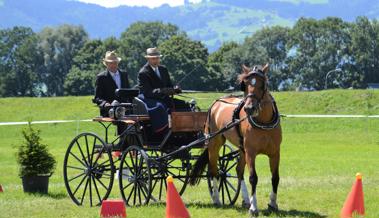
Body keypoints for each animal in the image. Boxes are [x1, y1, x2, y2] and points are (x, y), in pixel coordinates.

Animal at [189, 63, 282, 215]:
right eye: (245, 84)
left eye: (262, 85)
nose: (249, 108)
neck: (264, 122)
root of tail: (215, 104)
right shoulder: (251, 152)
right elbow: (253, 178)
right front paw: (254, 207)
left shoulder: (275, 153)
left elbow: (275, 177)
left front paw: (273, 204)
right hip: (215, 143)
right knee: (213, 171)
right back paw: (217, 199)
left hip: (242, 149)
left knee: (239, 171)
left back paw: (245, 200)